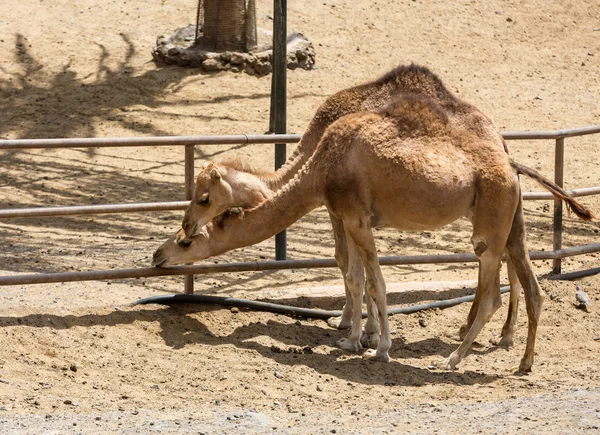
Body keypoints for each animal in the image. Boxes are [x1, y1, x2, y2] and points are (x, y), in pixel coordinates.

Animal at [152, 93, 592, 372]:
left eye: (186, 240)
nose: (158, 255)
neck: (320, 168)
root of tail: (511, 161)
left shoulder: (355, 218)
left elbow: (372, 282)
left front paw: (378, 348)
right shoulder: (349, 218)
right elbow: (357, 277)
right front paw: (354, 339)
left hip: (489, 225)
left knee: (492, 290)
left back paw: (453, 359)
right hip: (510, 222)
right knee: (530, 285)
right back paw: (522, 361)